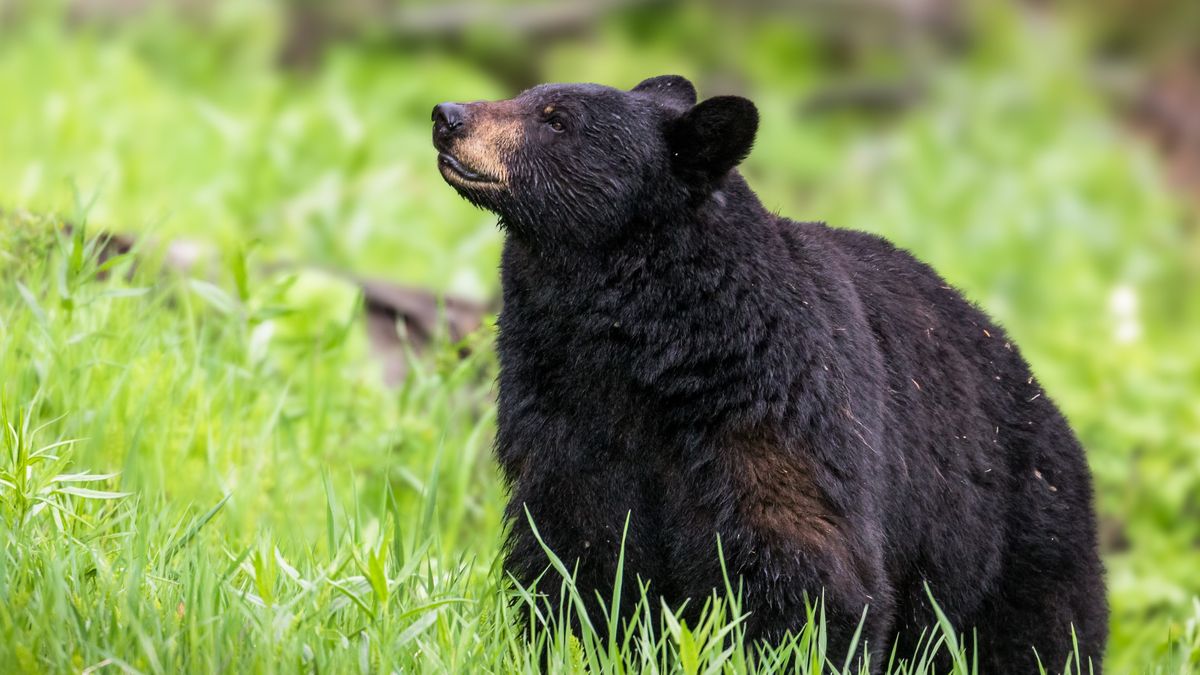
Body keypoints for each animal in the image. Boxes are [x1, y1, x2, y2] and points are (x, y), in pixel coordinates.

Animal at [429, 76, 1104, 667]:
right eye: (529, 95)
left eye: (557, 120)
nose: (447, 115)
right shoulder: (560, 404)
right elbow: (577, 549)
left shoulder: (777, 405)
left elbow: (804, 565)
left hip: (1015, 538)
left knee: (1038, 637)